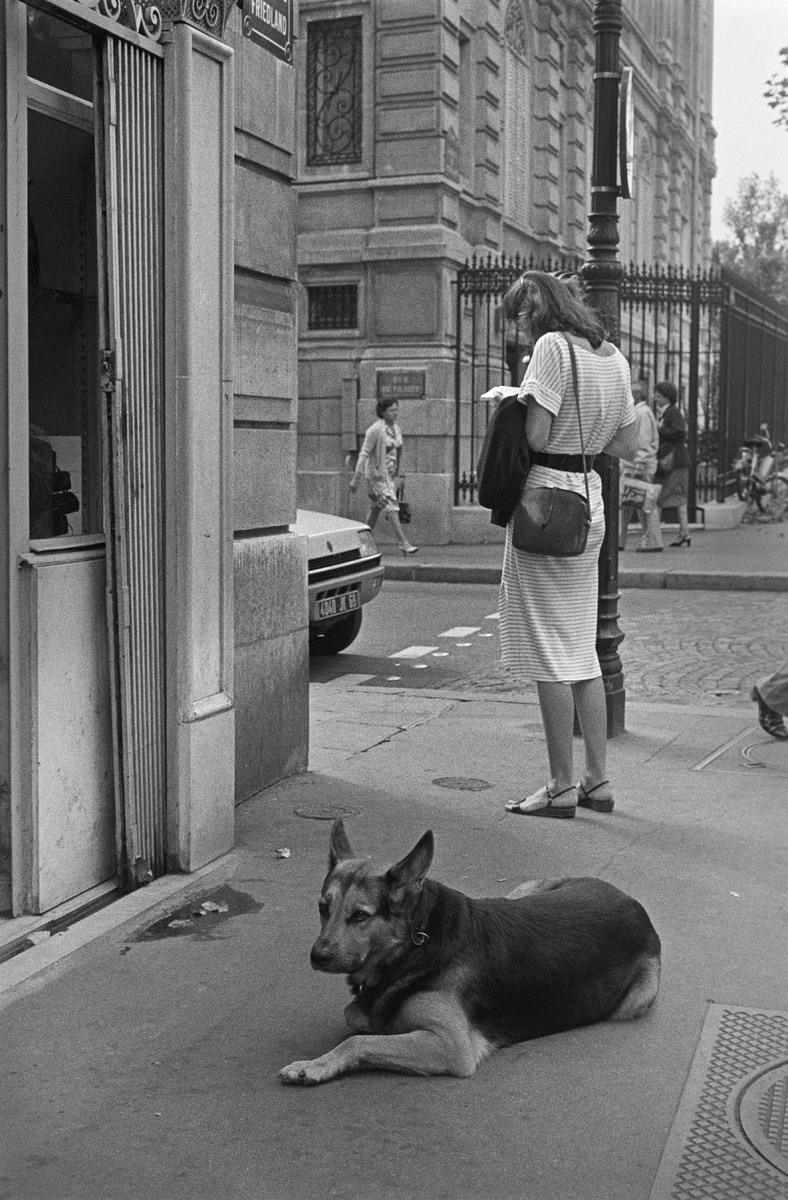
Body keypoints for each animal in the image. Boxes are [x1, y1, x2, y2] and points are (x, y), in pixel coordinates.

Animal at [277, 820, 657, 1084]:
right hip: (526, 890)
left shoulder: (450, 1045)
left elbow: (357, 1041)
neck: (417, 941)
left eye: (360, 916)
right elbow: (355, 1016)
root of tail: (630, 900)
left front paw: (314, 1065)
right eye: (323, 908)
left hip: (637, 999)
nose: (318, 956)